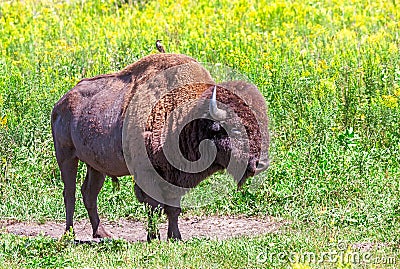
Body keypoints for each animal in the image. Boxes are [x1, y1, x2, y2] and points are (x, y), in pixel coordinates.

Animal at [50, 51, 268, 240]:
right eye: (236, 130)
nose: (260, 164)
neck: (185, 117)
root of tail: (61, 102)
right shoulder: (146, 174)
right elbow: (153, 206)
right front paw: (153, 237)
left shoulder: (175, 177)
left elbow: (173, 208)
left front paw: (175, 237)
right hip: (66, 156)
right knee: (69, 193)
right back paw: (69, 234)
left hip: (96, 166)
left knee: (89, 193)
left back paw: (103, 234)